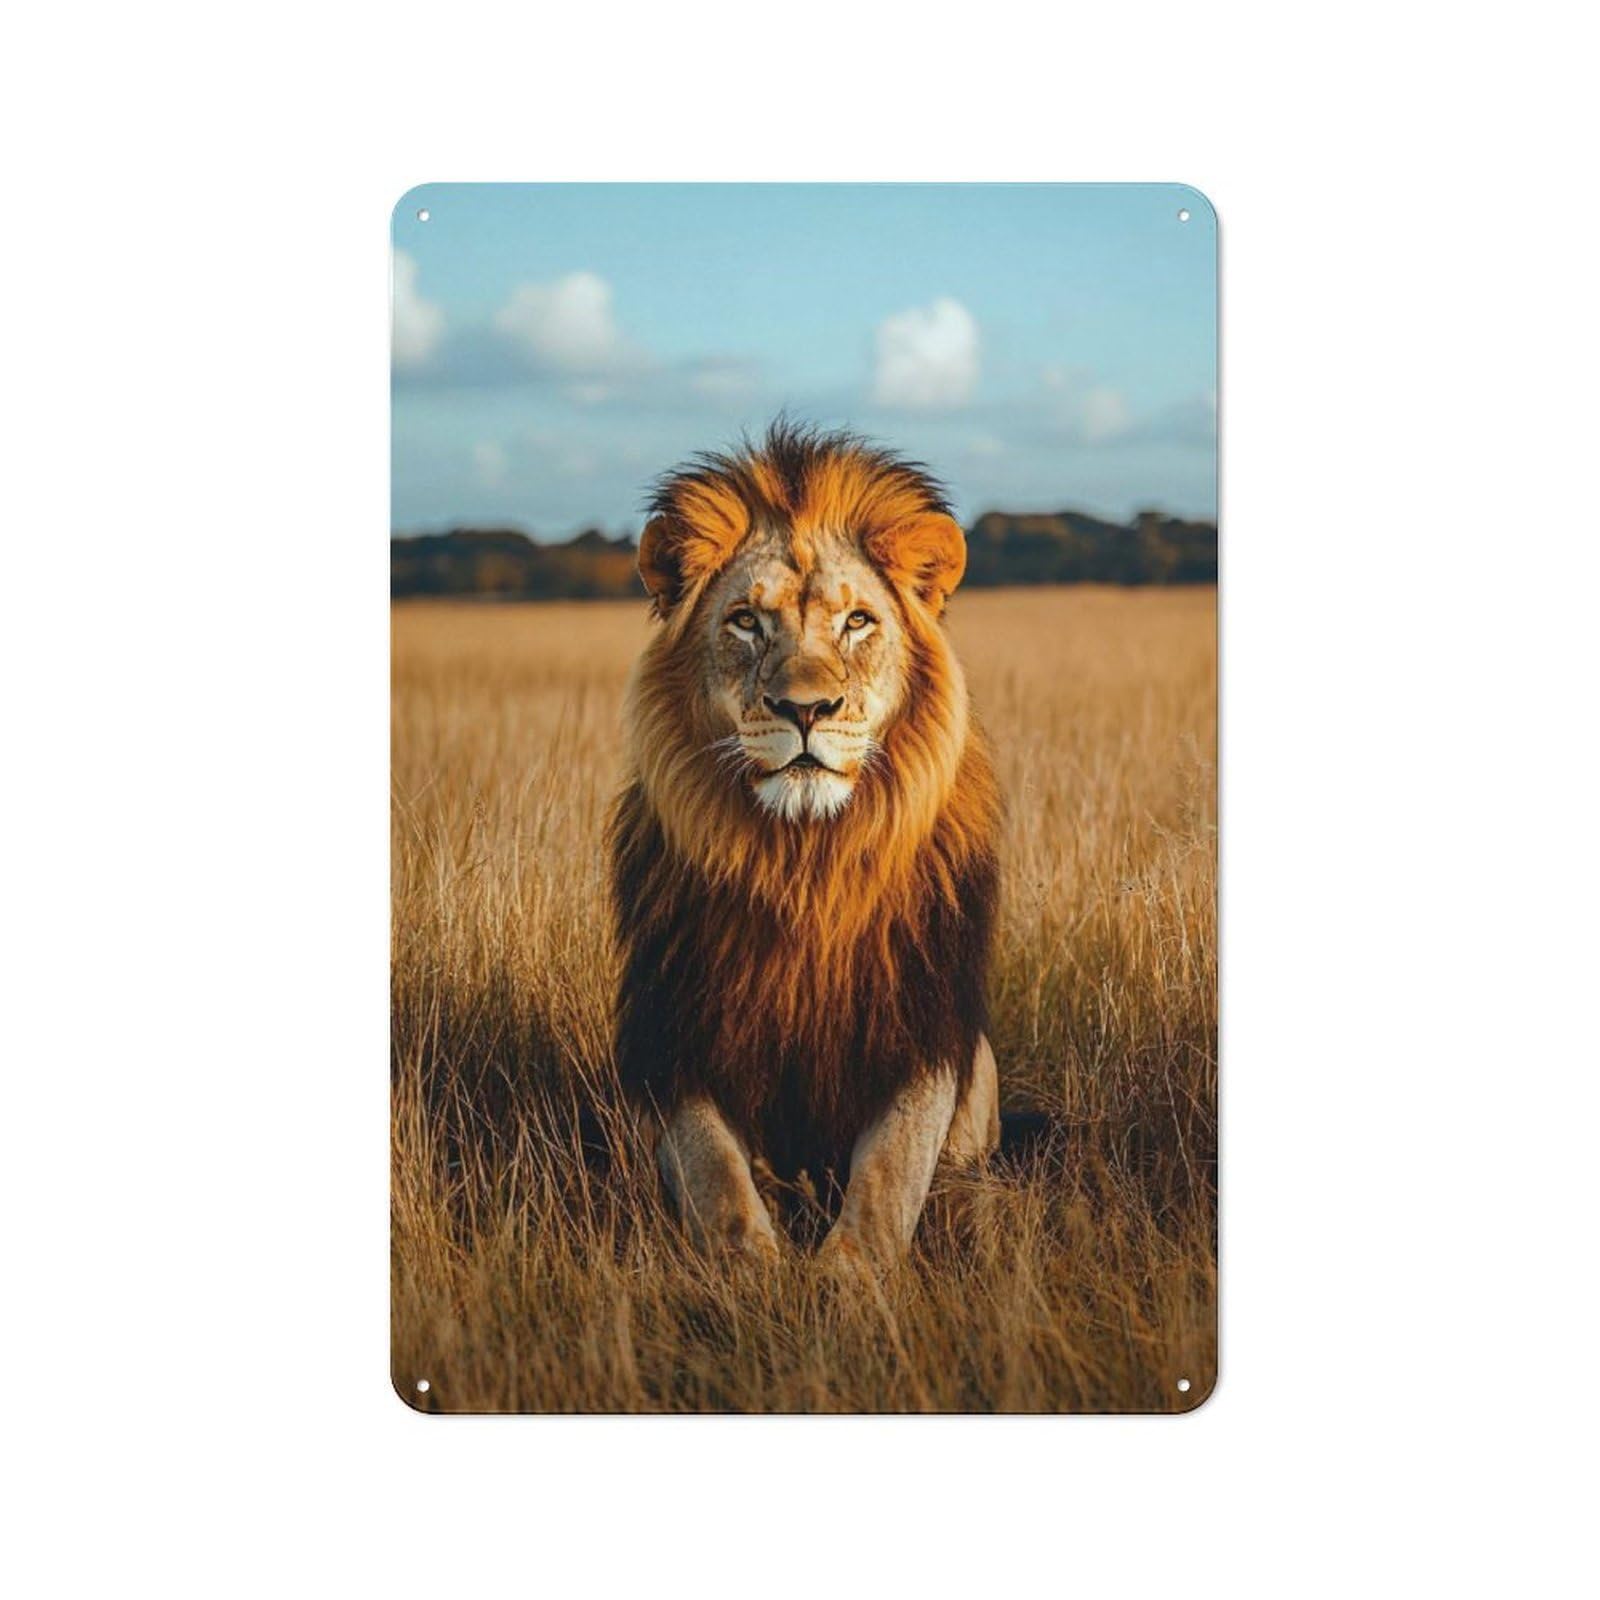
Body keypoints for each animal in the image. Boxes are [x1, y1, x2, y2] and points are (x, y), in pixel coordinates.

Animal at [608, 422, 1001, 1269]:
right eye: (746, 622)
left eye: (856, 622)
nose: (806, 709)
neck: (806, 861)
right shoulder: (677, 1035)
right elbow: (716, 1175)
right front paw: (753, 1271)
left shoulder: (921, 1029)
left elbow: (890, 1173)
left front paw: (845, 1279)